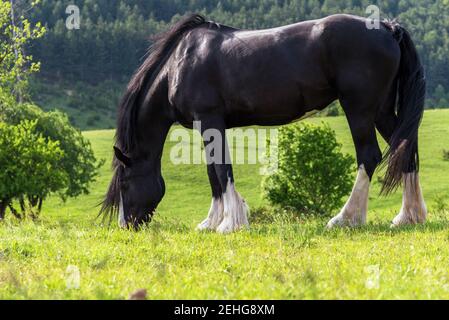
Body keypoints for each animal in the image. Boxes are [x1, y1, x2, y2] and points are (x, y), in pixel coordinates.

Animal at [101, 13, 428, 232]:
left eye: (125, 183)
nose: (125, 225)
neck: (179, 65)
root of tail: (387, 28)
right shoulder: (208, 126)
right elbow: (212, 172)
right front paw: (212, 222)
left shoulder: (210, 120)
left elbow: (221, 170)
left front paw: (230, 223)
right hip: (381, 110)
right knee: (405, 149)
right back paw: (409, 217)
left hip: (358, 108)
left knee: (369, 156)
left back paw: (345, 219)